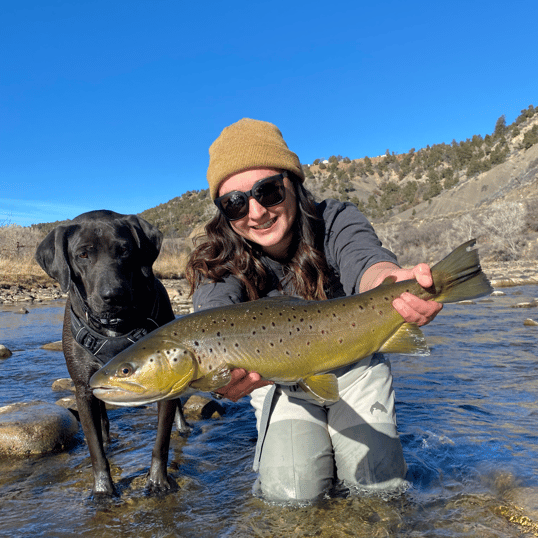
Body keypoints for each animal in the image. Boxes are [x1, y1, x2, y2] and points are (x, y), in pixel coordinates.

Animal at [36, 208, 186, 494]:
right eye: (83, 254)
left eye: (124, 250)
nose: (113, 295)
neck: (115, 325)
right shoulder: (82, 388)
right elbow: (94, 448)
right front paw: (103, 490)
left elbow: (161, 440)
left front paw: (158, 481)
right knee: (102, 420)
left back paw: (183, 426)